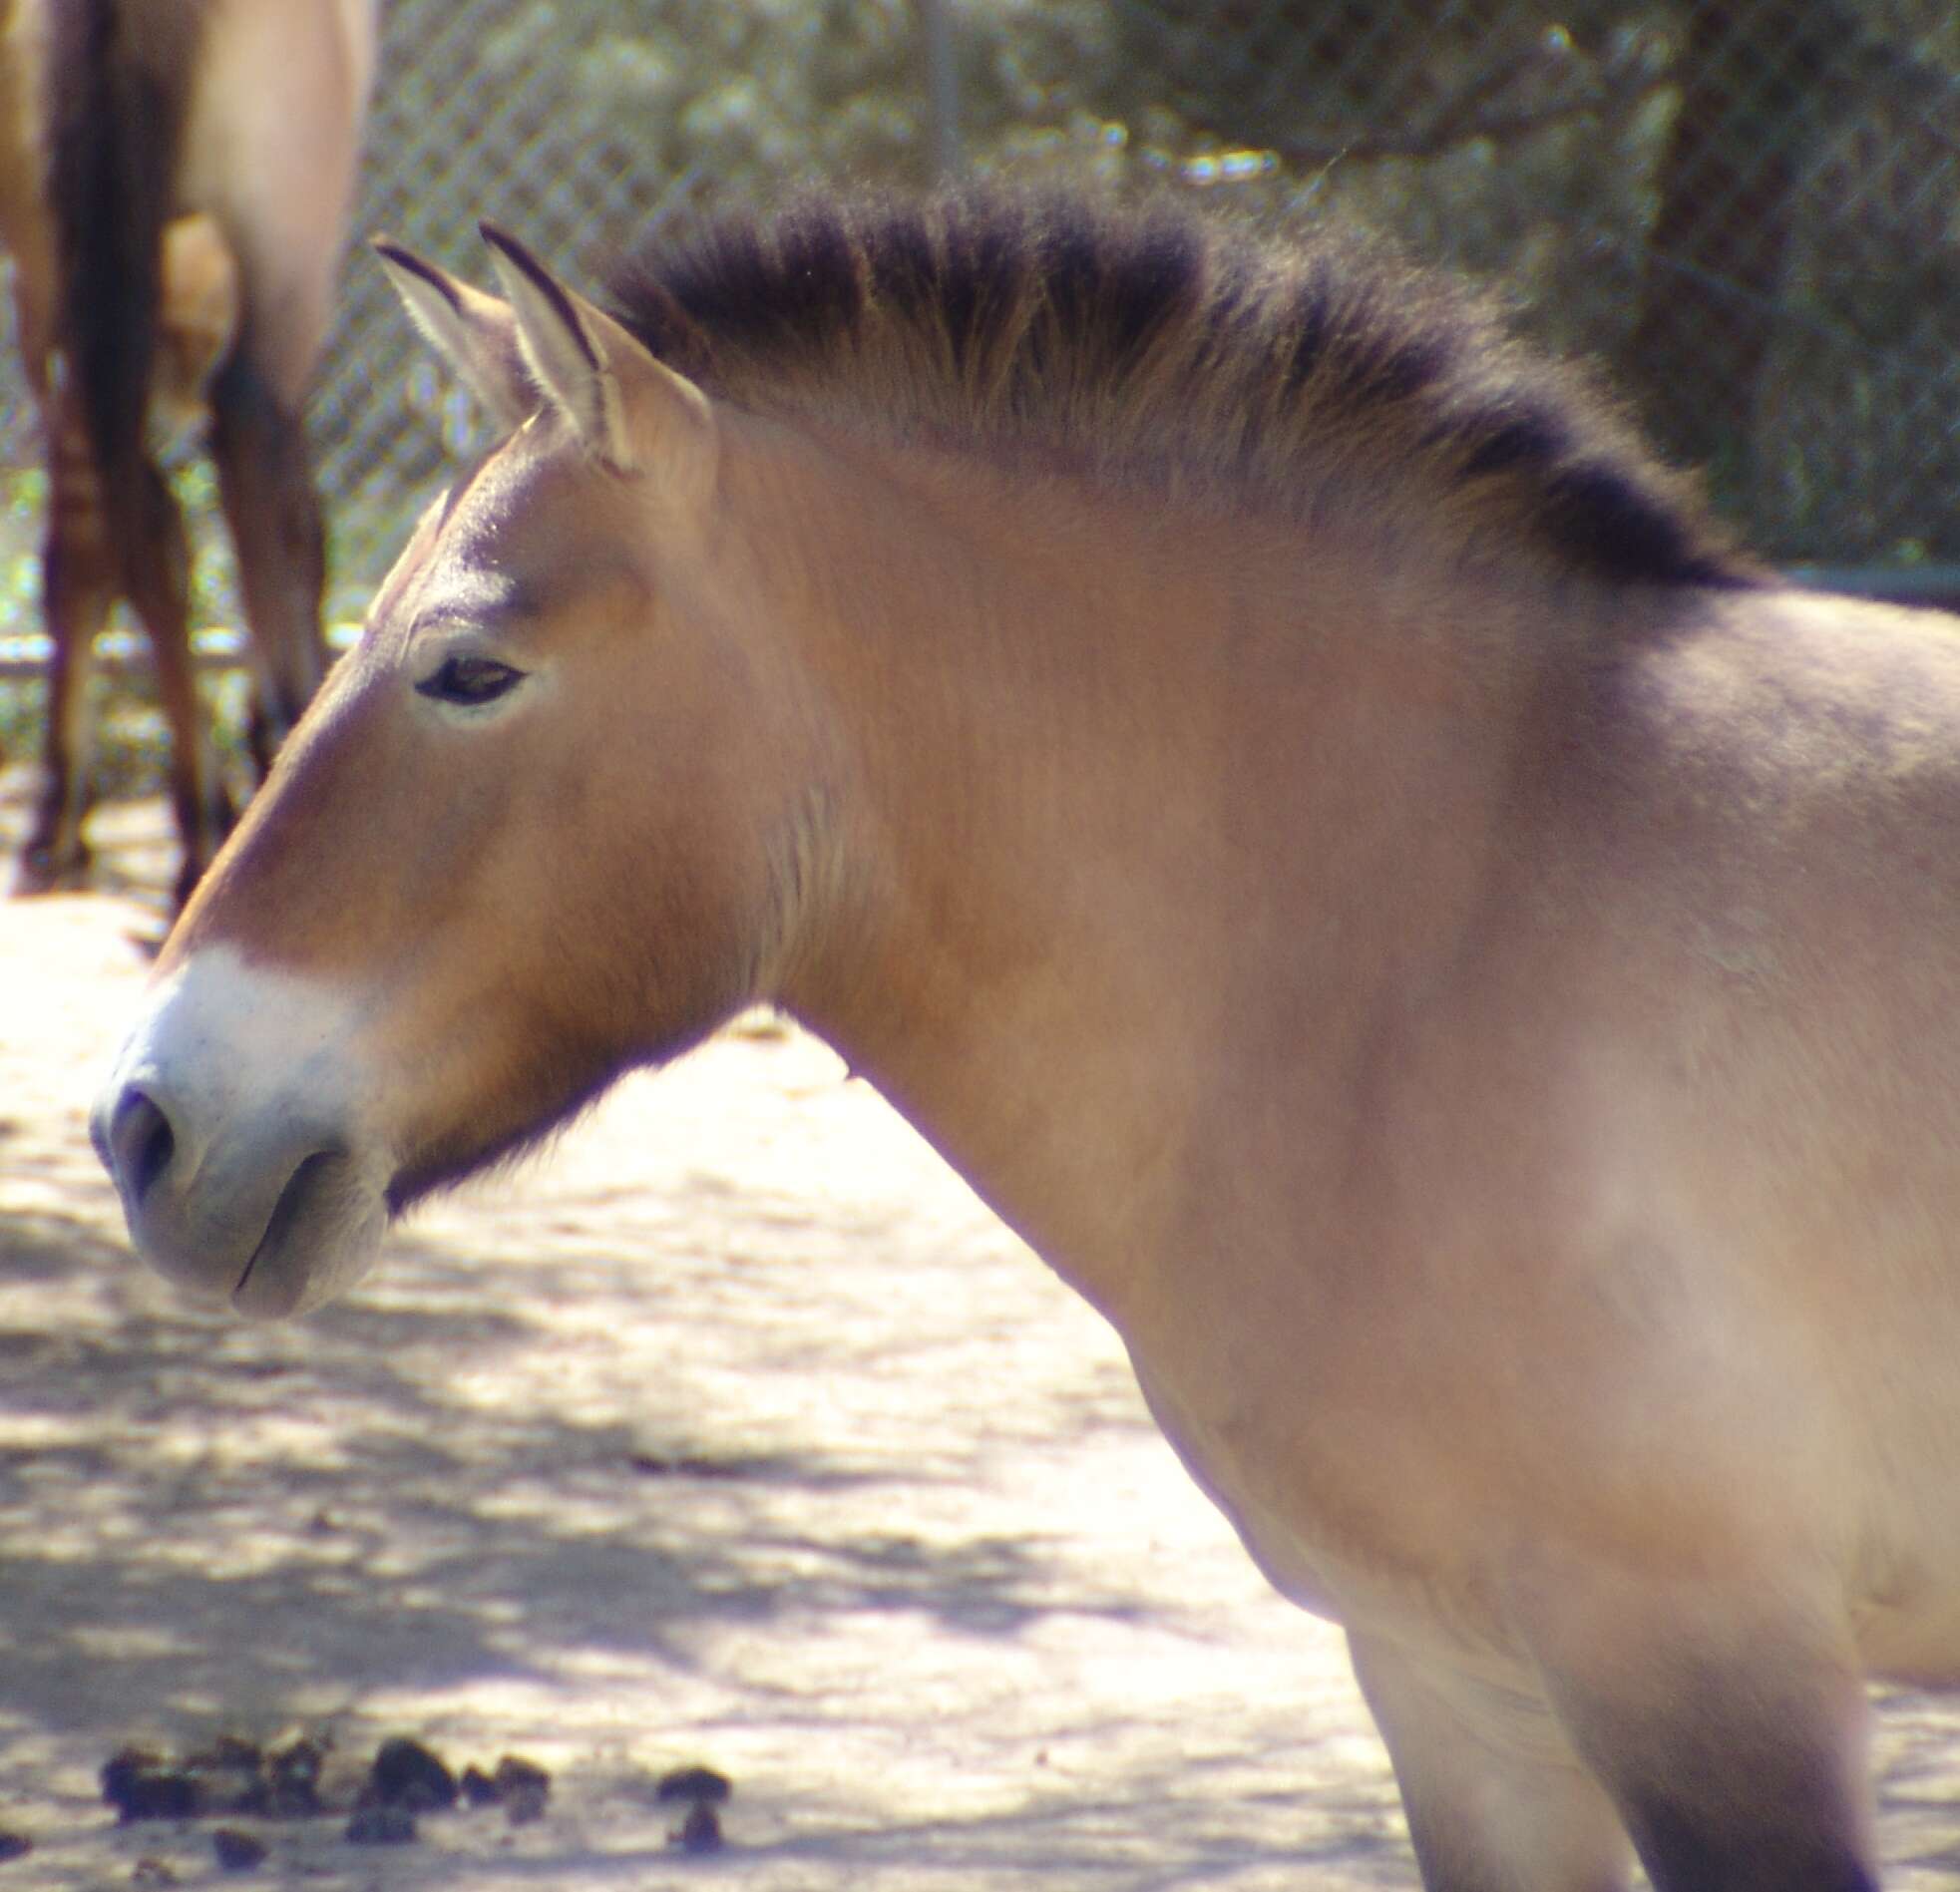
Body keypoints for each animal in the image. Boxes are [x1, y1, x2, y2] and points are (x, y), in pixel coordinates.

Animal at [0, 0, 374, 910]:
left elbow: (81, 550)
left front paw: (58, 822)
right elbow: (297, 524)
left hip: (63, 261)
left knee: (139, 517)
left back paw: (195, 818)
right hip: (279, 246)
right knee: (249, 440)